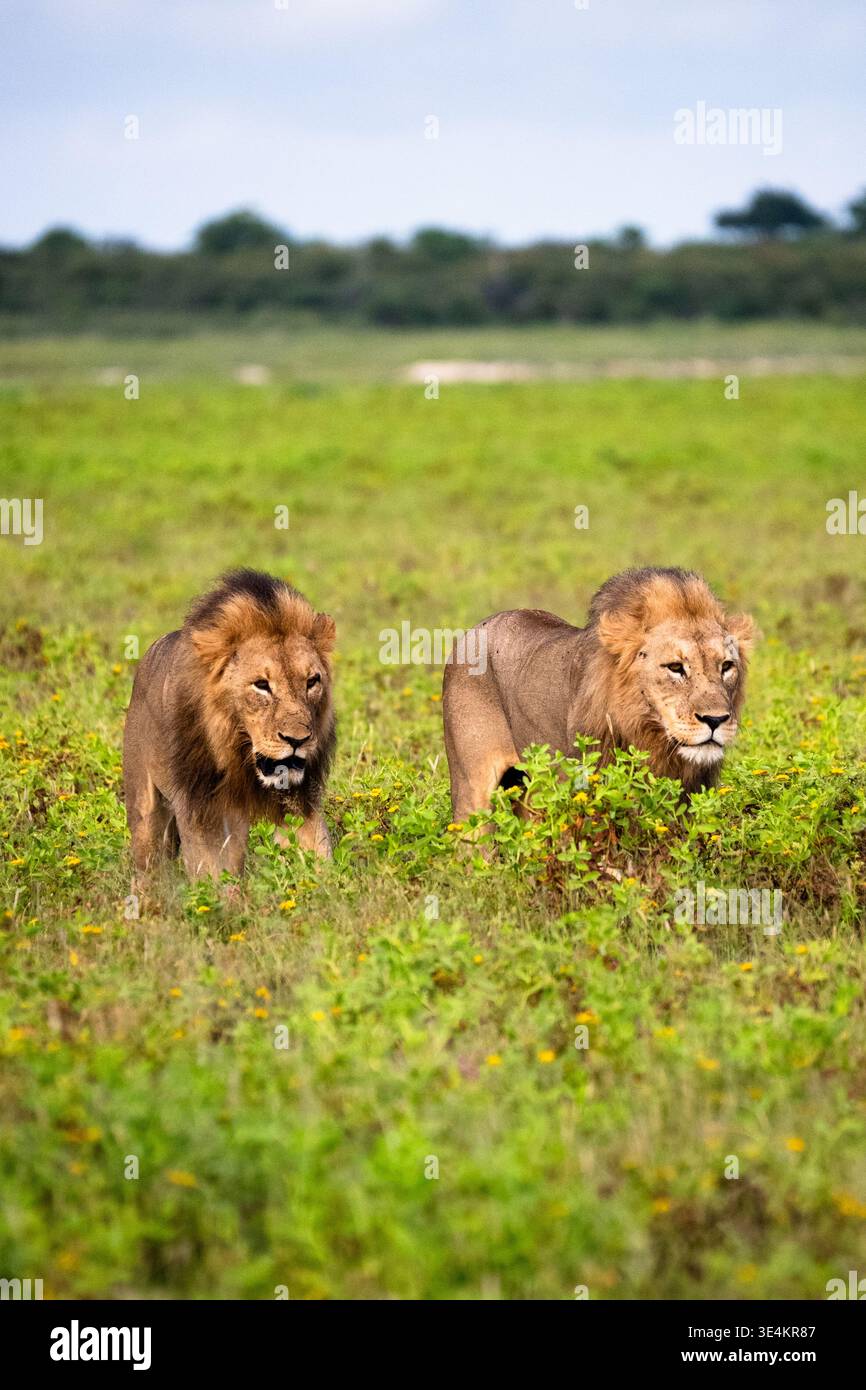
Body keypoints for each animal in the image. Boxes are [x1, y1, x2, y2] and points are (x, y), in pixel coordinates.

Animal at [123, 568, 336, 880]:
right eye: (261, 685)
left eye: (312, 681)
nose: (297, 740)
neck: (238, 751)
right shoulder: (201, 808)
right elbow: (211, 877)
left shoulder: (298, 800)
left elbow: (316, 855)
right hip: (145, 812)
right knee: (148, 867)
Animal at [442, 566, 756, 825]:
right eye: (676, 668)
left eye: (726, 667)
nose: (715, 720)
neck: (651, 736)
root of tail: (475, 629)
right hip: (471, 787)